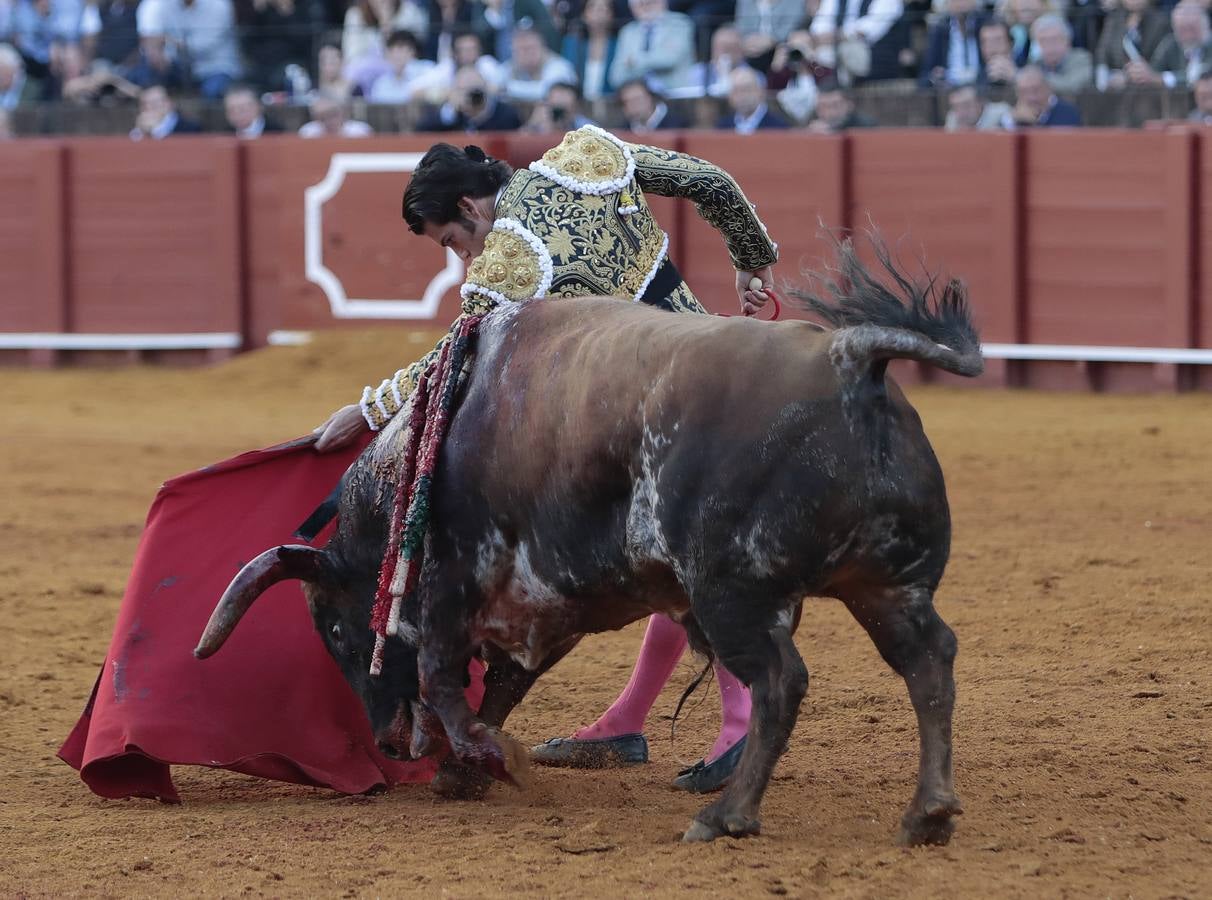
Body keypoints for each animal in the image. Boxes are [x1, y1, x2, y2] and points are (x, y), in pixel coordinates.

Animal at [191, 243, 984, 847]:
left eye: (331, 627)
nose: (385, 743)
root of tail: (850, 356)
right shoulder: (545, 606)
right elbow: (499, 687)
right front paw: (464, 770)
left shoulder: (453, 584)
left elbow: (446, 681)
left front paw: (490, 759)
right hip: (885, 585)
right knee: (928, 662)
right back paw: (928, 814)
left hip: (732, 591)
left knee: (781, 682)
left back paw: (726, 814)